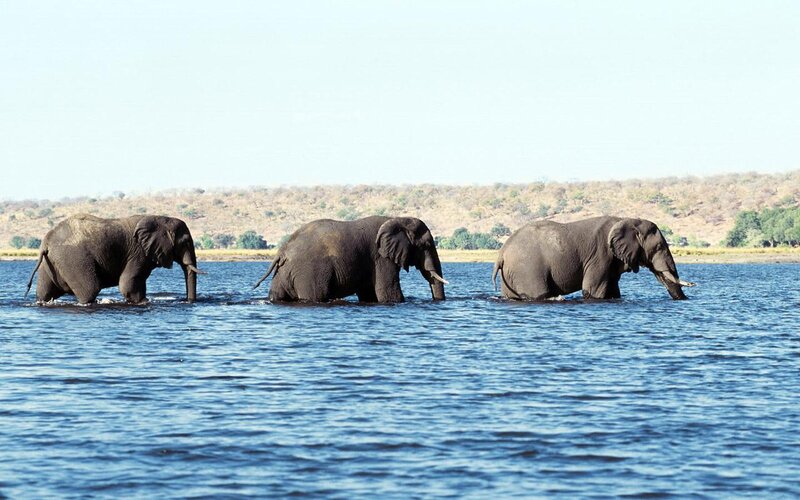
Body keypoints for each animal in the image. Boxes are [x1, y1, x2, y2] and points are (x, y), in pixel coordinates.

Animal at [25, 214, 203, 304]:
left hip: (51, 263)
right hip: (73, 259)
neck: (161, 219)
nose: (190, 301)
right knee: (90, 290)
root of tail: (46, 241)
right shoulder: (139, 253)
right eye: (185, 242)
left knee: (44, 293)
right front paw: (144, 302)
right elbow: (127, 284)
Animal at [253, 215, 447, 303]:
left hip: (284, 273)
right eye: (427, 244)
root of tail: (282, 251)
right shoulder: (381, 258)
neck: (398, 219)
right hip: (308, 273)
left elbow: (369, 294)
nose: (437, 301)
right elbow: (388, 293)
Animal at [492, 216, 694, 300]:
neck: (629, 220)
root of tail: (501, 254)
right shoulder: (601, 255)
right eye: (659, 247)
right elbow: (593, 291)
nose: (685, 300)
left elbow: (613, 290)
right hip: (527, 269)